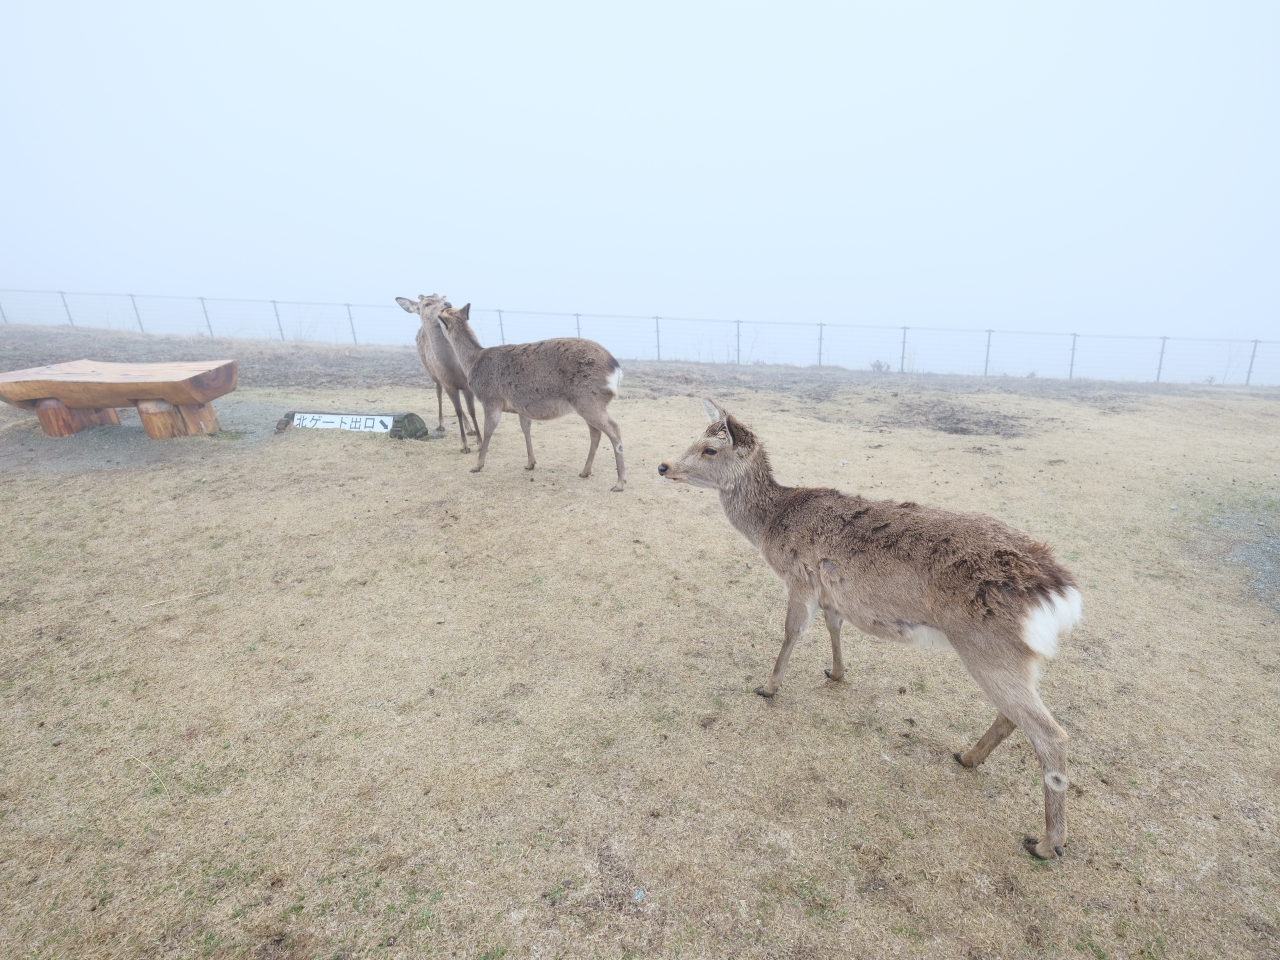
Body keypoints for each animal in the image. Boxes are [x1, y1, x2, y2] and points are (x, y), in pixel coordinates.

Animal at [394, 293, 481, 455]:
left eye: (443, 298)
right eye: (427, 303)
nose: (448, 304)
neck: (453, 366)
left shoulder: (467, 384)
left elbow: (471, 411)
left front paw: (479, 441)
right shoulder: (447, 383)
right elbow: (457, 411)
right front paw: (464, 446)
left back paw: (470, 429)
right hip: (432, 374)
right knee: (439, 391)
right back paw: (441, 425)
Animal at [432, 304, 627, 491]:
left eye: (442, 314)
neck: (472, 362)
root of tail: (615, 368)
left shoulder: (491, 399)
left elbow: (488, 431)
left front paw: (477, 465)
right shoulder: (521, 407)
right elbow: (525, 429)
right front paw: (530, 463)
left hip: (589, 400)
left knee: (614, 428)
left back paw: (619, 483)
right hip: (586, 403)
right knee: (595, 432)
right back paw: (585, 471)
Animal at [655, 399, 1085, 865]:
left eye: (710, 449)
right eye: (695, 437)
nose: (662, 465)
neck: (771, 526)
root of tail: (1061, 592)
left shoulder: (799, 576)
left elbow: (791, 631)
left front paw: (767, 687)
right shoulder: (831, 591)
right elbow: (833, 625)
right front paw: (836, 672)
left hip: (988, 646)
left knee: (1052, 734)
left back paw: (1046, 842)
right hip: (1015, 656)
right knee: (1014, 716)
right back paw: (968, 757)